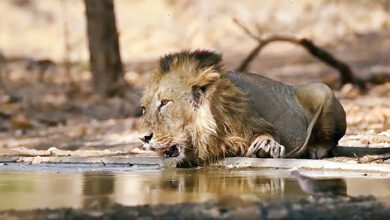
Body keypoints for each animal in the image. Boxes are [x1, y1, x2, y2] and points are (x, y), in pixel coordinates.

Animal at [138, 50, 348, 167]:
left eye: (165, 103)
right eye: (143, 108)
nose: (143, 138)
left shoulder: (258, 121)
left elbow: (267, 134)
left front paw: (265, 146)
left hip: (322, 89)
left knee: (332, 140)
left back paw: (315, 149)